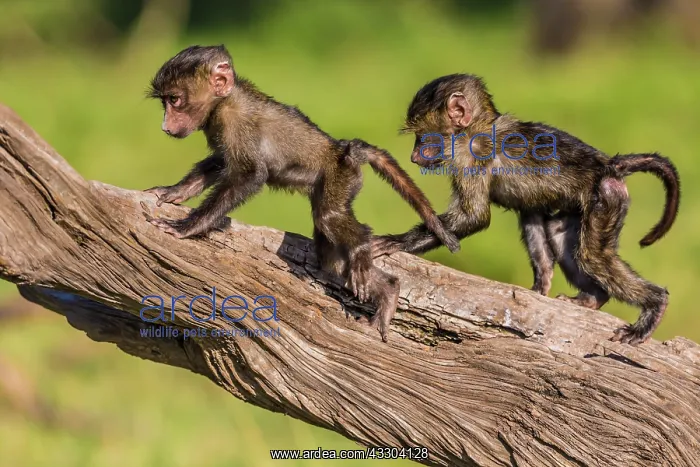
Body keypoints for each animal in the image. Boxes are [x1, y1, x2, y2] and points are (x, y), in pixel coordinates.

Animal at [140, 45, 460, 342]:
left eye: (175, 100)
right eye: (165, 101)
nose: (166, 126)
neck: (225, 100)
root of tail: (342, 149)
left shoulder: (235, 121)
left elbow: (250, 175)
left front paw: (186, 227)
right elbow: (220, 161)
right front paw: (174, 192)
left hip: (340, 176)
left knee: (330, 217)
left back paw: (362, 253)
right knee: (331, 256)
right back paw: (388, 291)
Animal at [371, 73, 680, 345]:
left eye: (423, 136)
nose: (413, 157)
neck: (476, 126)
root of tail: (608, 165)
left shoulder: (471, 155)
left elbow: (475, 217)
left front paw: (397, 241)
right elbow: (531, 218)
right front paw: (539, 288)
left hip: (606, 198)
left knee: (592, 257)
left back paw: (654, 306)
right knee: (559, 234)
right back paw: (593, 297)